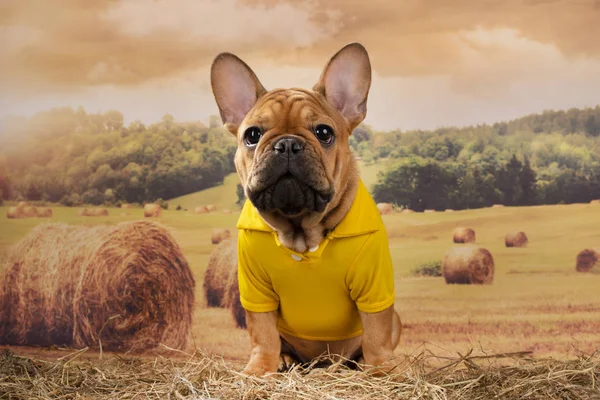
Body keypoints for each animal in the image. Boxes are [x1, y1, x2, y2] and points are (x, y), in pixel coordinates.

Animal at [211, 43, 404, 376]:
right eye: (252, 135)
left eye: (324, 132)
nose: (287, 144)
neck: (301, 230)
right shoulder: (255, 291)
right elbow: (262, 332)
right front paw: (260, 368)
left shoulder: (374, 287)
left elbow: (377, 332)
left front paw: (380, 370)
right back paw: (285, 360)